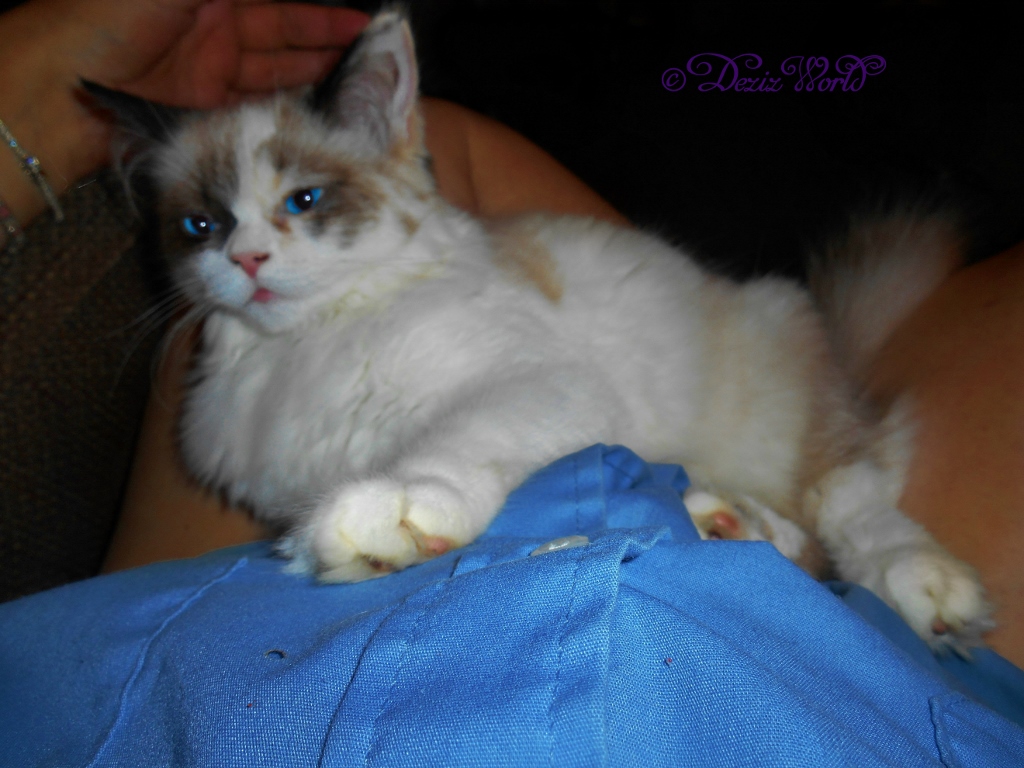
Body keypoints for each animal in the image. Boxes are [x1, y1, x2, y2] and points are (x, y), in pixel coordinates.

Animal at [85, 11, 989, 650]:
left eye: (303, 201)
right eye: (201, 226)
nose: (246, 260)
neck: (307, 343)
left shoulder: (536, 381)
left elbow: (458, 440)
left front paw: (399, 507)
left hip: (788, 402)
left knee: (852, 503)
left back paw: (925, 585)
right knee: (798, 537)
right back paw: (721, 520)